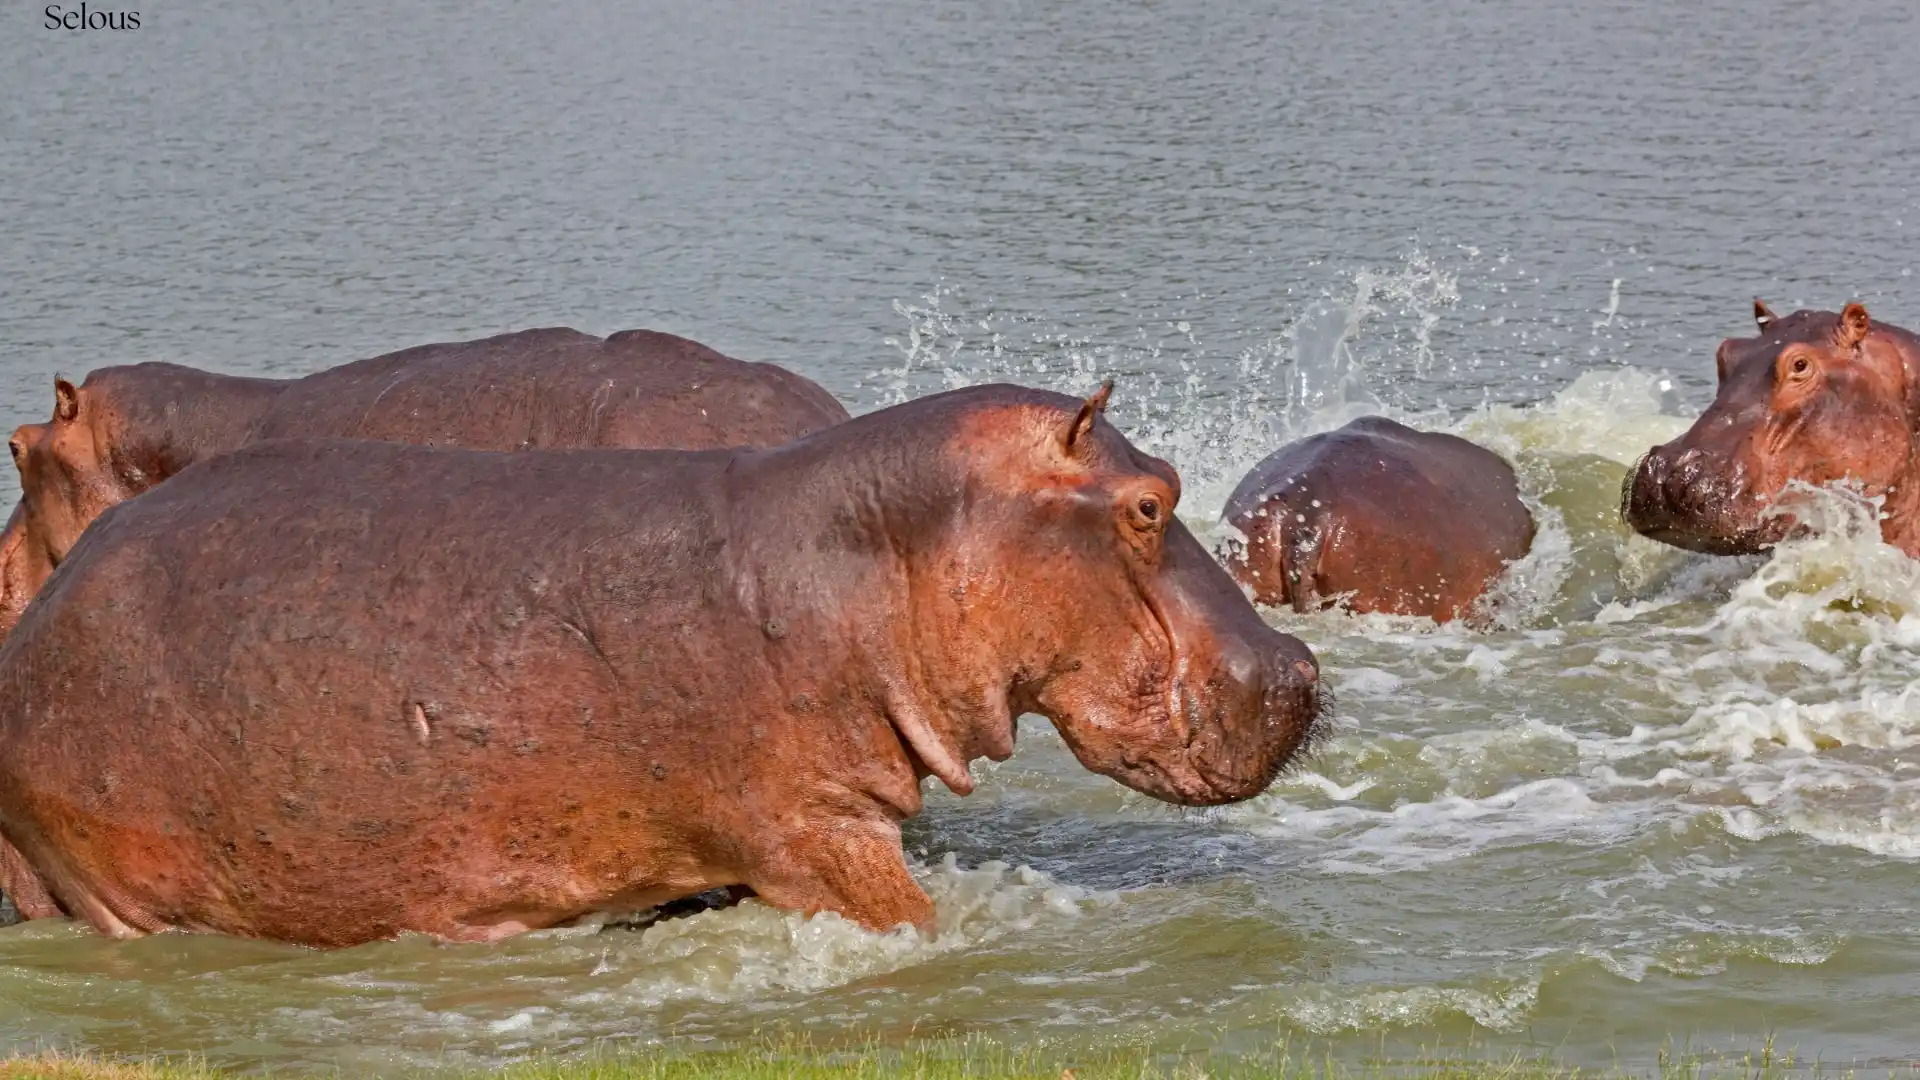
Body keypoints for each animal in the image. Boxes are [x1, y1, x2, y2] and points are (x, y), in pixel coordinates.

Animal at [0, 383, 1323, 946]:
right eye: (1149, 504)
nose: (1302, 668)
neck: (877, 547)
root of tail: (33, 634)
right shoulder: (815, 830)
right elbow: (911, 918)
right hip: (114, 869)